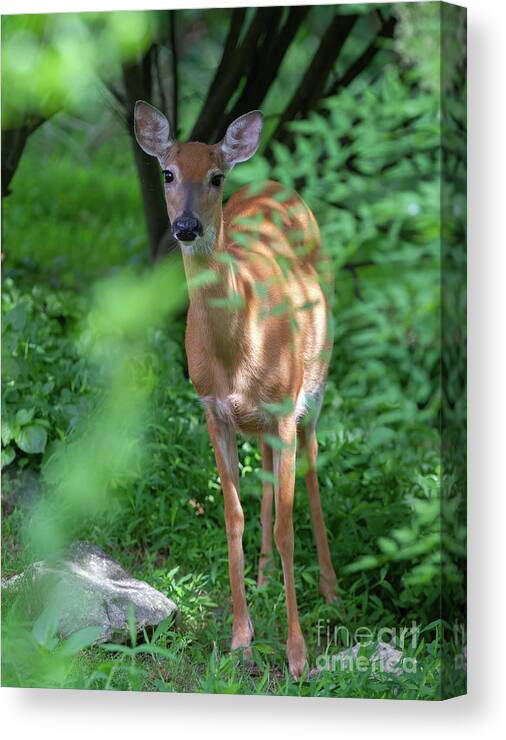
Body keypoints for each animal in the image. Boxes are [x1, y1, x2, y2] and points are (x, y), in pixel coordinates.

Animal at [136, 101, 338, 680]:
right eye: (167, 173)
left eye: (216, 176)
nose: (186, 226)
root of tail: (275, 184)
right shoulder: (213, 410)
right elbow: (233, 518)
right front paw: (240, 641)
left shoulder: (286, 407)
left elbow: (290, 525)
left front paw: (297, 656)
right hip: (265, 422)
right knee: (269, 478)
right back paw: (266, 578)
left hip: (314, 388)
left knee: (311, 473)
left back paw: (331, 589)